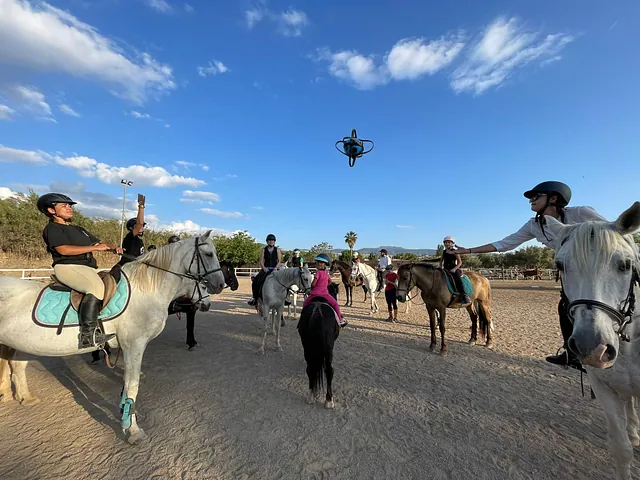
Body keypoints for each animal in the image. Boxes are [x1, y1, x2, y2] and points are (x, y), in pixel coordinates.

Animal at [0, 231, 226, 444]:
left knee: (16, 366)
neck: (146, 289)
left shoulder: (129, 348)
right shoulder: (134, 345)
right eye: (208, 254)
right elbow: (133, 385)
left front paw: (125, 416)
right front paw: (133, 429)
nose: (220, 285)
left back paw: (25, 398)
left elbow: (126, 384)